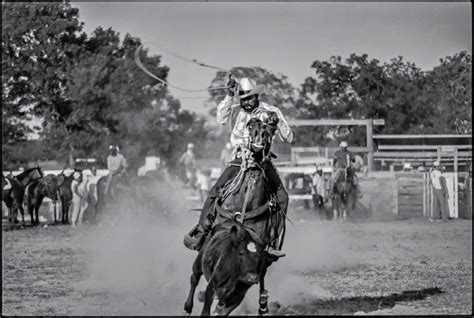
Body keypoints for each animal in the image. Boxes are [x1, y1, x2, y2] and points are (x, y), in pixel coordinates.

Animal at [183, 118, 284, 316]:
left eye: (271, 127)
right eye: (251, 126)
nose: (259, 134)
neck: (246, 202)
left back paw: (262, 304)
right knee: (195, 276)